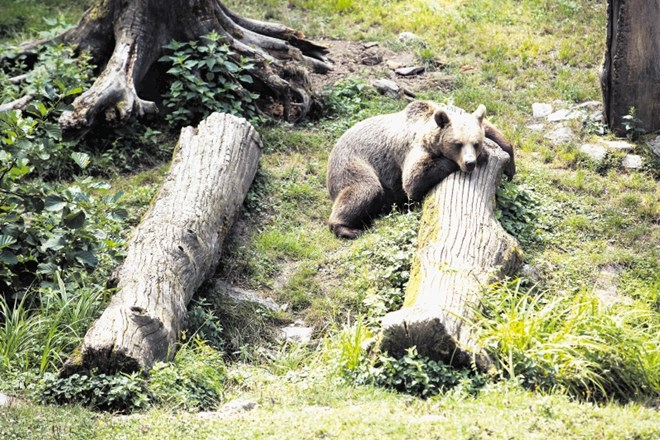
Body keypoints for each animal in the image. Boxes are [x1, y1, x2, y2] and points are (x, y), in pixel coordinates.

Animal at [328, 101, 512, 239]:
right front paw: (482, 156)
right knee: (365, 190)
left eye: (476, 143)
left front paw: (509, 164)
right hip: (353, 164)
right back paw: (347, 228)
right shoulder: (412, 149)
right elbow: (413, 180)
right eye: (457, 144)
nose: (470, 162)